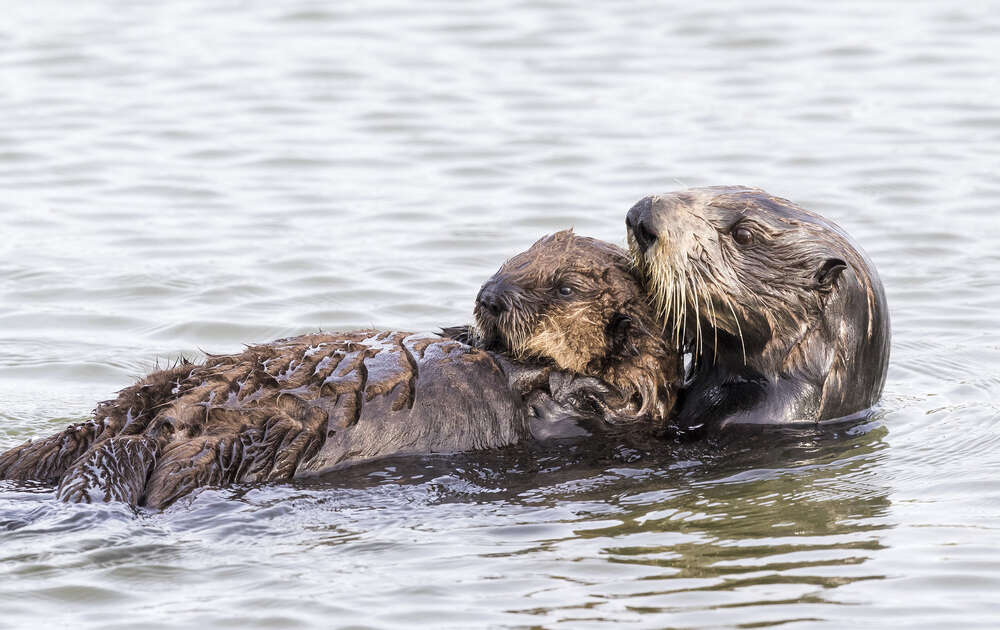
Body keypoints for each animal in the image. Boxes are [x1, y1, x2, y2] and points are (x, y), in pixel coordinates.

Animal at [0, 231, 679, 508]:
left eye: (563, 287)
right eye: (511, 260)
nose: (488, 296)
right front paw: (456, 332)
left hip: (241, 437)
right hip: (162, 401)